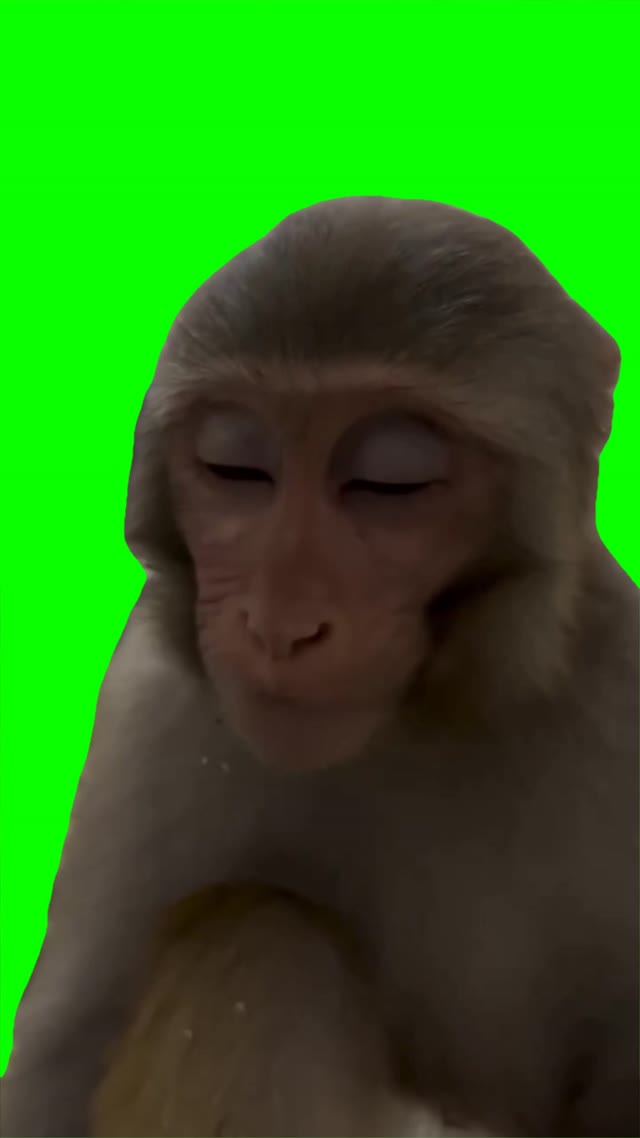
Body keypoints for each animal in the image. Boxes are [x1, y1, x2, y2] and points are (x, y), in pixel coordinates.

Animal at [2, 197, 637, 1138]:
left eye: (389, 481)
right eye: (235, 467)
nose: (279, 623)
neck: (433, 711)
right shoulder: (152, 704)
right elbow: (58, 1069)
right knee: (265, 940)